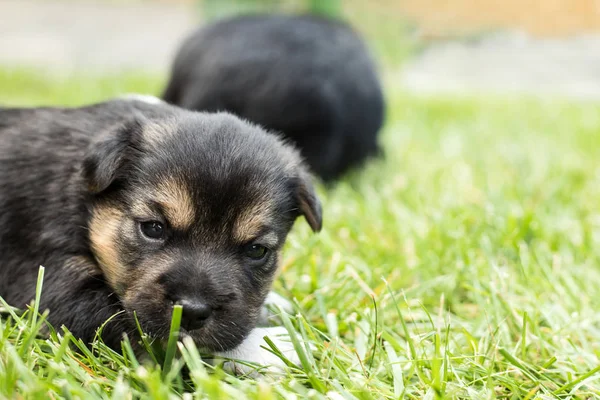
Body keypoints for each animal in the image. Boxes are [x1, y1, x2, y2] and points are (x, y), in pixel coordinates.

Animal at [0, 97, 322, 366]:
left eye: (256, 250)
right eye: (153, 228)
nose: (191, 311)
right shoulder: (53, 281)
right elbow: (151, 337)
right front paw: (272, 348)